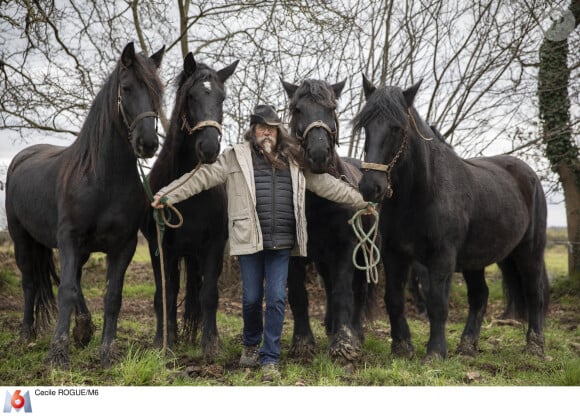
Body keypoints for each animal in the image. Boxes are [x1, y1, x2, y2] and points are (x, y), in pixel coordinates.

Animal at [6, 43, 165, 368]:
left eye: (158, 92)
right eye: (126, 88)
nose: (148, 144)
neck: (103, 179)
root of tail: (22, 157)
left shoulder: (124, 245)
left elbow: (112, 296)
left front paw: (107, 352)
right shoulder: (69, 238)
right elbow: (65, 290)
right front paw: (58, 354)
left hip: (78, 249)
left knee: (74, 280)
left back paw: (83, 328)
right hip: (22, 239)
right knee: (30, 283)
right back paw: (27, 335)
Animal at [140, 52, 238, 358]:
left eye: (222, 97)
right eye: (191, 96)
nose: (208, 148)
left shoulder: (214, 246)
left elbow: (209, 295)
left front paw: (211, 344)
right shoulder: (160, 247)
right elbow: (165, 294)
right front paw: (164, 342)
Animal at [280, 77, 372, 360]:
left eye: (332, 108)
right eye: (296, 109)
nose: (318, 153)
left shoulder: (346, 249)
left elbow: (343, 292)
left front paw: (344, 344)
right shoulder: (295, 252)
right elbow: (299, 294)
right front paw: (302, 343)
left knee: (359, 291)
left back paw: (355, 332)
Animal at [354, 76, 548, 360]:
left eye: (397, 128)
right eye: (365, 126)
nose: (371, 187)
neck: (421, 193)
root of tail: (529, 175)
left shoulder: (441, 257)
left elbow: (437, 303)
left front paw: (435, 352)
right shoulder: (394, 254)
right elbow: (394, 298)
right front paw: (402, 347)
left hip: (529, 251)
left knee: (535, 293)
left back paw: (535, 346)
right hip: (482, 258)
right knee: (480, 296)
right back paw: (467, 346)